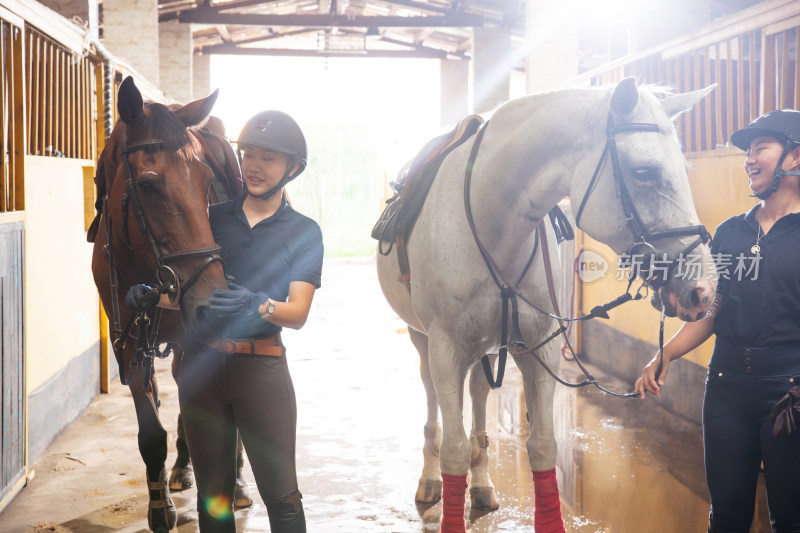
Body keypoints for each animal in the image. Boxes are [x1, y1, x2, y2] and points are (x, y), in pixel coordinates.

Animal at [90, 77, 241, 528]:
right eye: (147, 185)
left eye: (206, 178)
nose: (211, 299)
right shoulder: (127, 342)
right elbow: (151, 431)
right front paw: (160, 507)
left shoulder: (195, 339)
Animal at [378, 77, 716, 528]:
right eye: (644, 173)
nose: (703, 289)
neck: (490, 218)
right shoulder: (445, 347)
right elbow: (453, 450)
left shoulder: (539, 345)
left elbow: (541, 446)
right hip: (423, 339)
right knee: (433, 401)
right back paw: (430, 480)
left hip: (488, 344)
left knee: (480, 395)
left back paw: (482, 483)